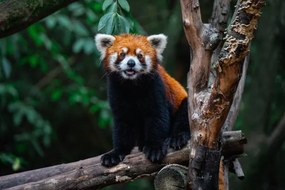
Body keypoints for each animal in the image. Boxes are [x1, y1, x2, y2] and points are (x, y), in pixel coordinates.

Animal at [95, 33, 189, 167]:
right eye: (122, 54)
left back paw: (178, 137)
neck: (132, 85)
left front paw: (154, 147)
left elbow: (158, 117)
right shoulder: (116, 92)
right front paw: (116, 152)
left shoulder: (156, 88)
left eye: (140, 56)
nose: (131, 63)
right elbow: (122, 124)